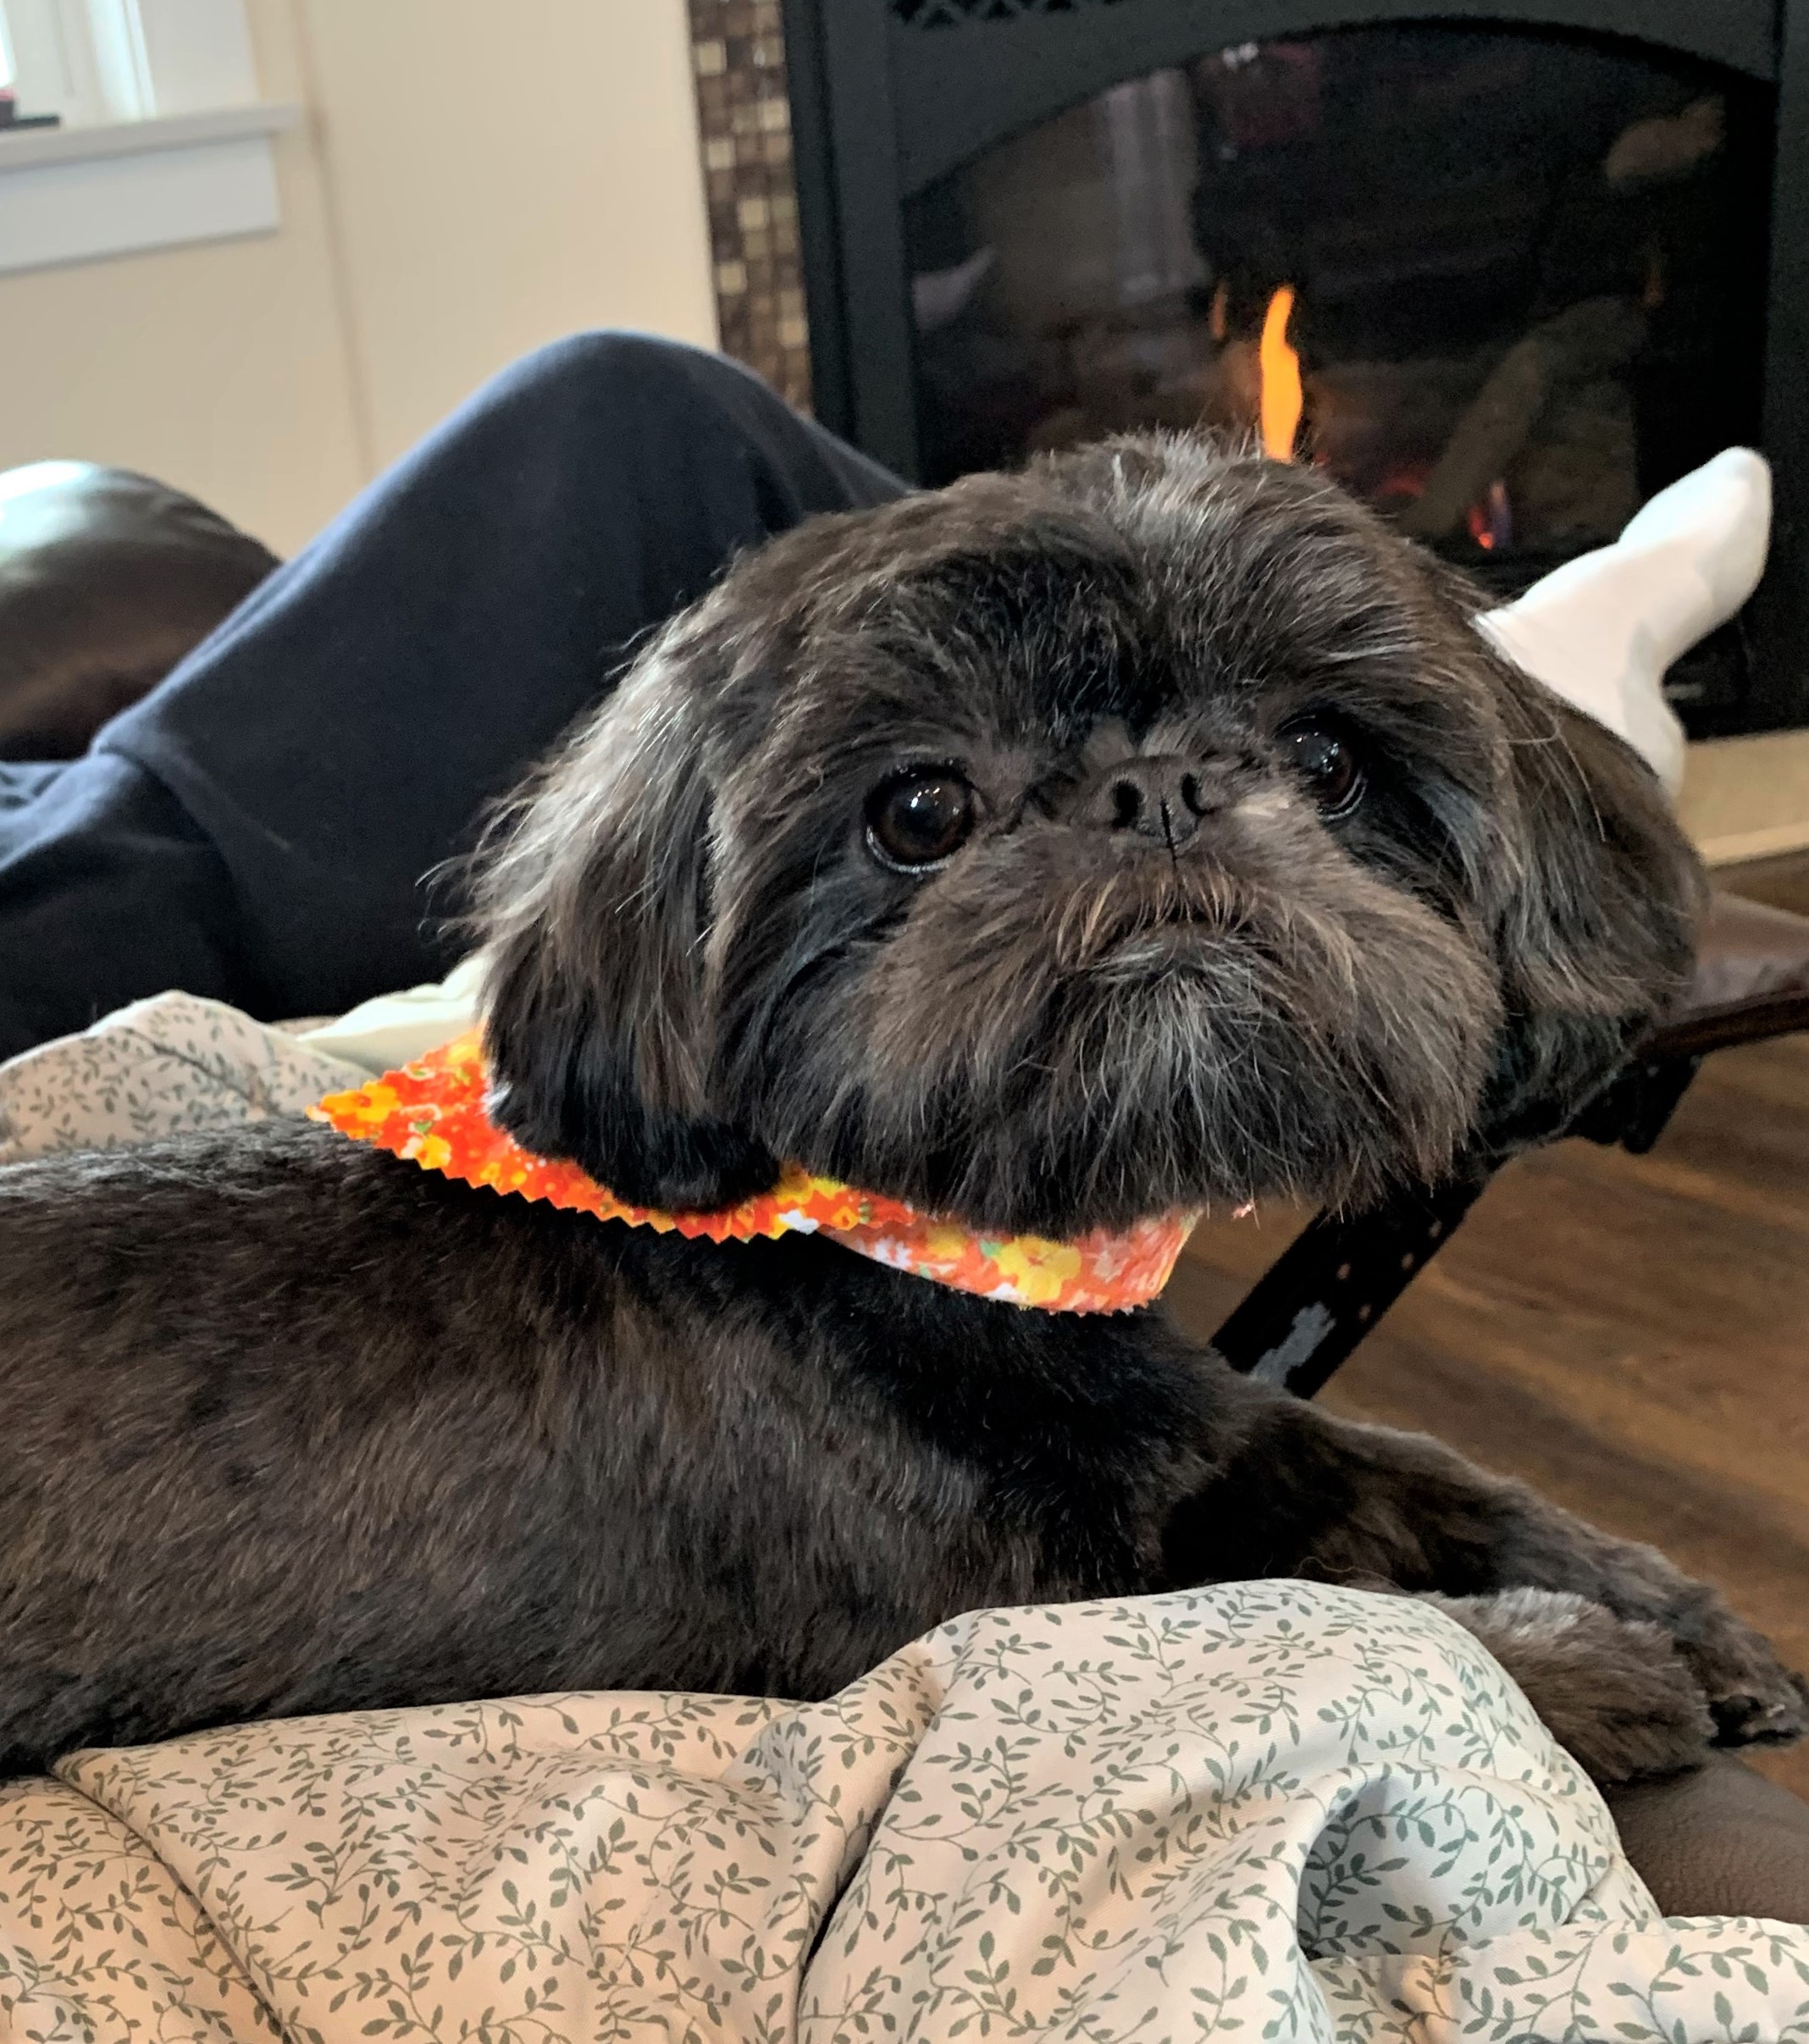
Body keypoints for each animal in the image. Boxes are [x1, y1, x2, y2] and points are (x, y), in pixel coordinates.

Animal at [3, 439, 1806, 1782]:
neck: (955, 1262)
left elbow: (1420, 1464)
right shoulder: (1002, 1604)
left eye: (1327, 756)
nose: (1157, 788)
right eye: (920, 808)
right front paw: (1582, 1669)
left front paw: (1675, 1609)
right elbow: (1336, 1611)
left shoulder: (1204, 1433)